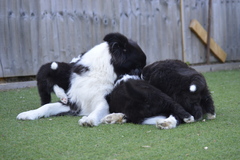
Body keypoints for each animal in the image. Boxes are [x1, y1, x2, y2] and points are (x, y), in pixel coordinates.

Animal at [16, 32, 146, 127]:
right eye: (138, 67)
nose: (144, 81)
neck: (101, 71)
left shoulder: (104, 101)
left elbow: (98, 110)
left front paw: (89, 119)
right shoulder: (74, 103)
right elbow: (47, 106)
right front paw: (29, 114)